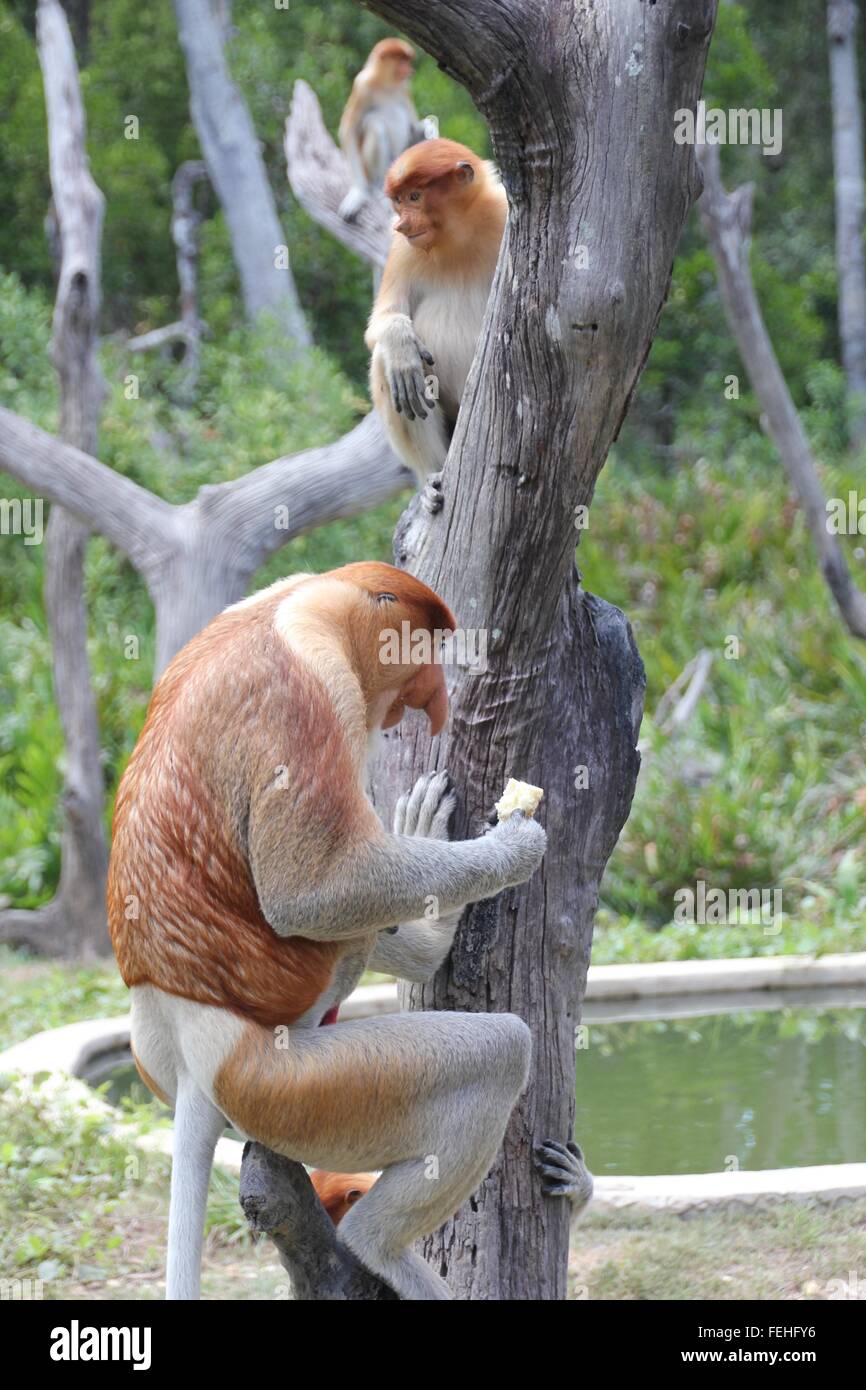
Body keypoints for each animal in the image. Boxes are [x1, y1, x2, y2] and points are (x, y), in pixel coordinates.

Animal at [104, 564, 544, 1301]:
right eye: (424, 648)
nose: (434, 696)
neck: (303, 601)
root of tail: (190, 1047)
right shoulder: (314, 685)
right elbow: (312, 893)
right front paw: (514, 847)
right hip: (290, 1085)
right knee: (495, 1054)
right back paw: (381, 1247)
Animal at [366, 136, 508, 511]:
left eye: (415, 197)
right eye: (399, 201)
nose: (401, 224)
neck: (459, 236)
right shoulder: (402, 249)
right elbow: (380, 324)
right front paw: (401, 346)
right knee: (385, 363)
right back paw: (432, 479)